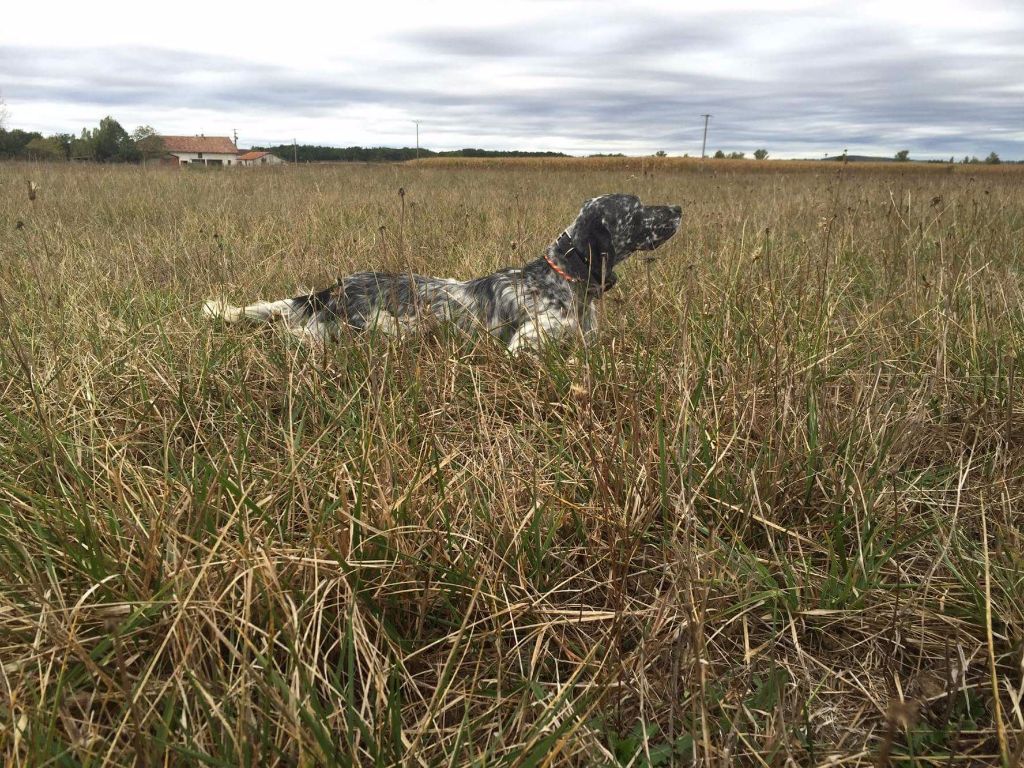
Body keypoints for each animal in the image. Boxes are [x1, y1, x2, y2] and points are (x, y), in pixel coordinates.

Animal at [199, 196, 679, 356]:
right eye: (637, 208)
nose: (677, 208)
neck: (563, 279)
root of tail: (336, 287)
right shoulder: (523, 346)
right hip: (395, 326)